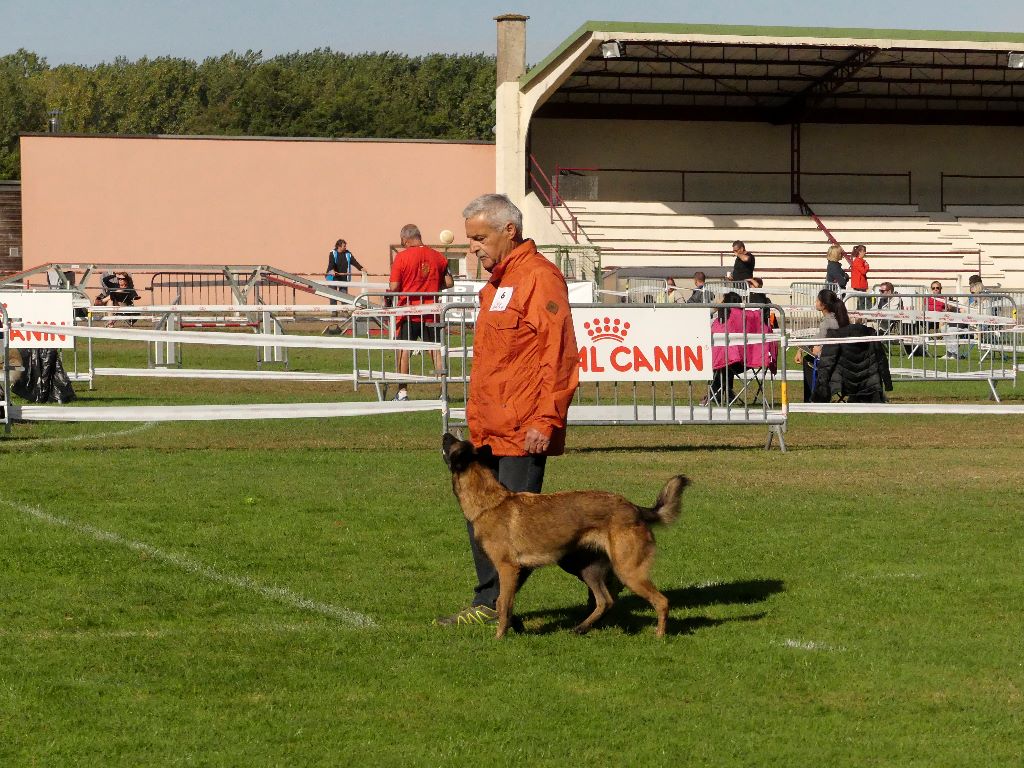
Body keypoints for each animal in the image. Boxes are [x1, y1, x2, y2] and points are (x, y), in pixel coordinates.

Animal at [440, 436, 688, 638]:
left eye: (452, 444)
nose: (446, 433)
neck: (489, 501)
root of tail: (635, 508)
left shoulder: (507, 568)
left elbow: (503, 602)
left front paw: (500, 636)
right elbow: (506, 603)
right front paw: (515, 625)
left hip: (628, 571)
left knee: (661, 601)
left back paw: (659, 635)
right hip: (586, 568)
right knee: (606, 600)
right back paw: (581, 628)